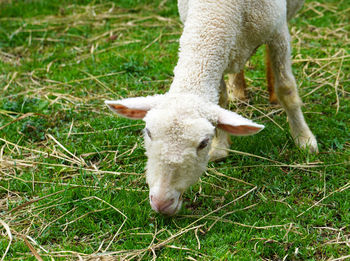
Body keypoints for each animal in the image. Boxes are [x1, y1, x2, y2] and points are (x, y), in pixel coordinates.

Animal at [104, 0, 318, 214]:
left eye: (203, 143)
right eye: (148, 133)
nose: (161, 203)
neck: (215, 10)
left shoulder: (278, 33)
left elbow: (287, 89)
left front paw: (304, 138)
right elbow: (220, 99)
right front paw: (221, 146)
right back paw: (238, 90)